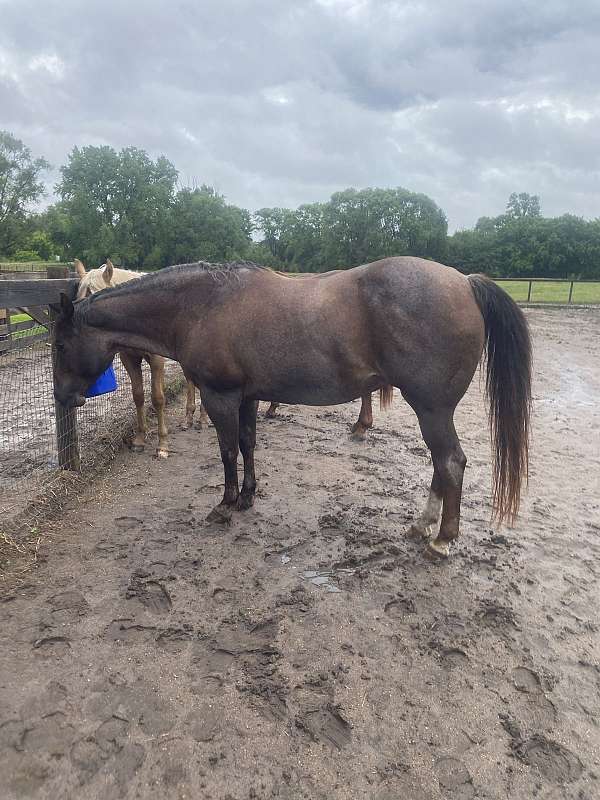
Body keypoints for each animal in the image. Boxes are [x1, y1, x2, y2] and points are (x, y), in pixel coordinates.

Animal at [74, 258, 209, 458]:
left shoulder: (156, 359)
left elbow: (158, 398)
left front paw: (162, 445)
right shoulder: (129, 359)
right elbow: (138, 396)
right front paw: (139, 440)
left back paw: (204, 420)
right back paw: (188, 420)